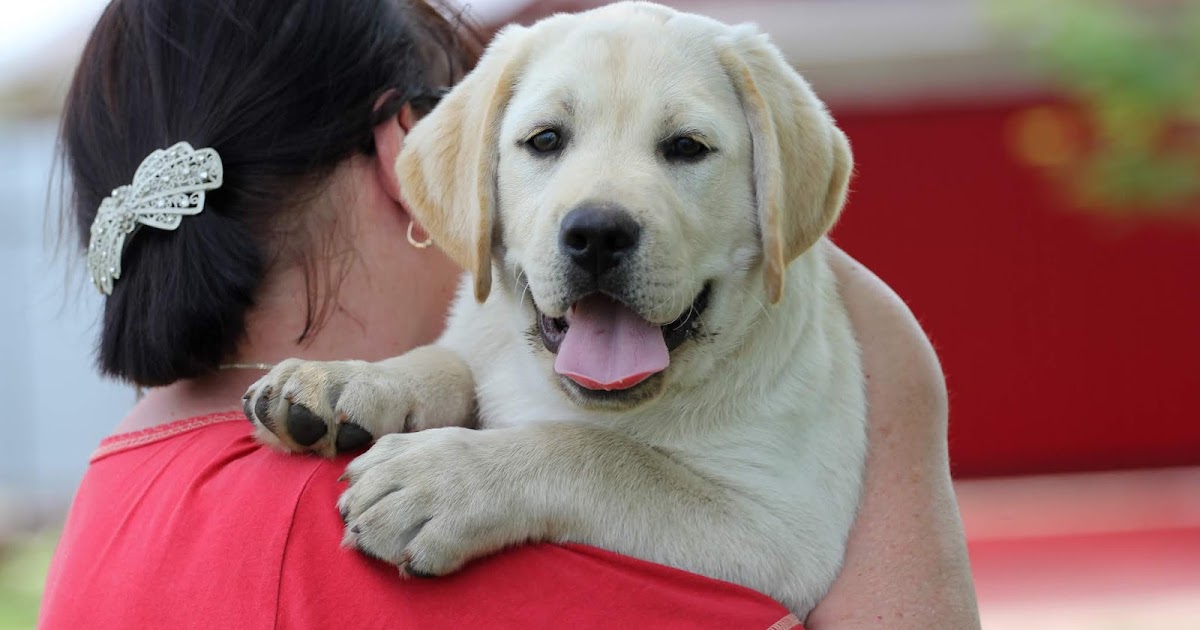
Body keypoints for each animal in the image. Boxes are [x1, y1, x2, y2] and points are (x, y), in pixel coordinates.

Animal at [246, 1, 864, 614]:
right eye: (545, 140)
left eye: (688, 147)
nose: (598, 235)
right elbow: (450, 359)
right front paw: (347, 379)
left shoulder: (781, 532)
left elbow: (609, 456)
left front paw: (440, 479)